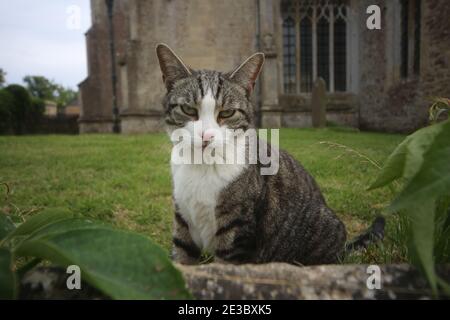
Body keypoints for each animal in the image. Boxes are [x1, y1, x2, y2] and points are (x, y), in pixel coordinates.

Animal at [155, 44, 384, 264]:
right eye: (188, 109)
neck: (201, 167)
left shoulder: (237, 231)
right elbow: (182, 259)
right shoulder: (183, 221)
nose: (206, 136)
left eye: (227, 113)